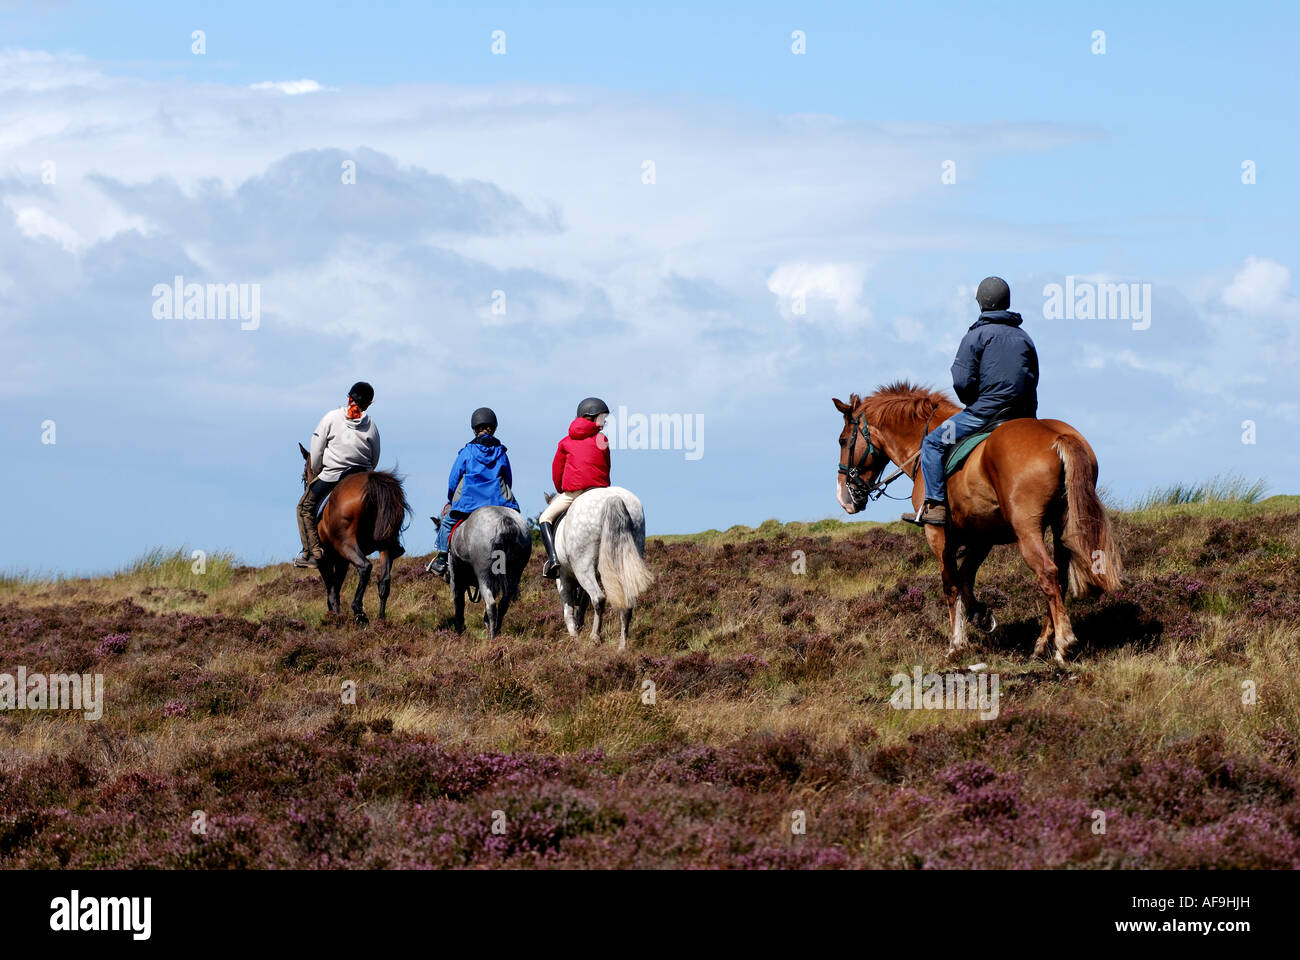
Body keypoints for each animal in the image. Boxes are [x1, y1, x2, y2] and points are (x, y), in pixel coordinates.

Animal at [300, 442, 410, 621]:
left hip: (346, 544)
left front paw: (334, 616)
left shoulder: (326, 560)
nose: (307, 483)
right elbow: (336, 588)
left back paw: (359, 611)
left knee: (365, 567)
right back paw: (381, 620)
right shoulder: (341, 560)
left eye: (304, 476)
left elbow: (332, 590)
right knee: (384, 582)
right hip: (385, 545)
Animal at [431, 504, 533, 640]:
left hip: (483, 575)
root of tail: (505, 521)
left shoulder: (456, 579)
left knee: (491, 604)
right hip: (515, 574)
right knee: (503, 604)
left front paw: (460, 632)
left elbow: (459, 604)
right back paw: (496, 630)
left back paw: (492, 636)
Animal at [546, 481, 650, 647]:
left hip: (583, 568)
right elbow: (582, 603)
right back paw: (622, 645)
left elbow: (568, 609)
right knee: (625, 602)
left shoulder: (562, 578)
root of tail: (612, 498)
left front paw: (574, 637)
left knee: (598, 598)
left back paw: (595, 636)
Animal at [837, 379, 1123, 658]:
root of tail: (1058, 435)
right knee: (1061, 578)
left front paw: (956, 644)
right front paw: (981, 616)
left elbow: (951, 584)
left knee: (1048, 574)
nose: (844, 498)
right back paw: (1043, 643)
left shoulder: (938, 535)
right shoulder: (982, 536)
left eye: (842, 441)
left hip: (1027, 530)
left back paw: (1064, 643)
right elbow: (965, 578)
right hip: (1061, 525)